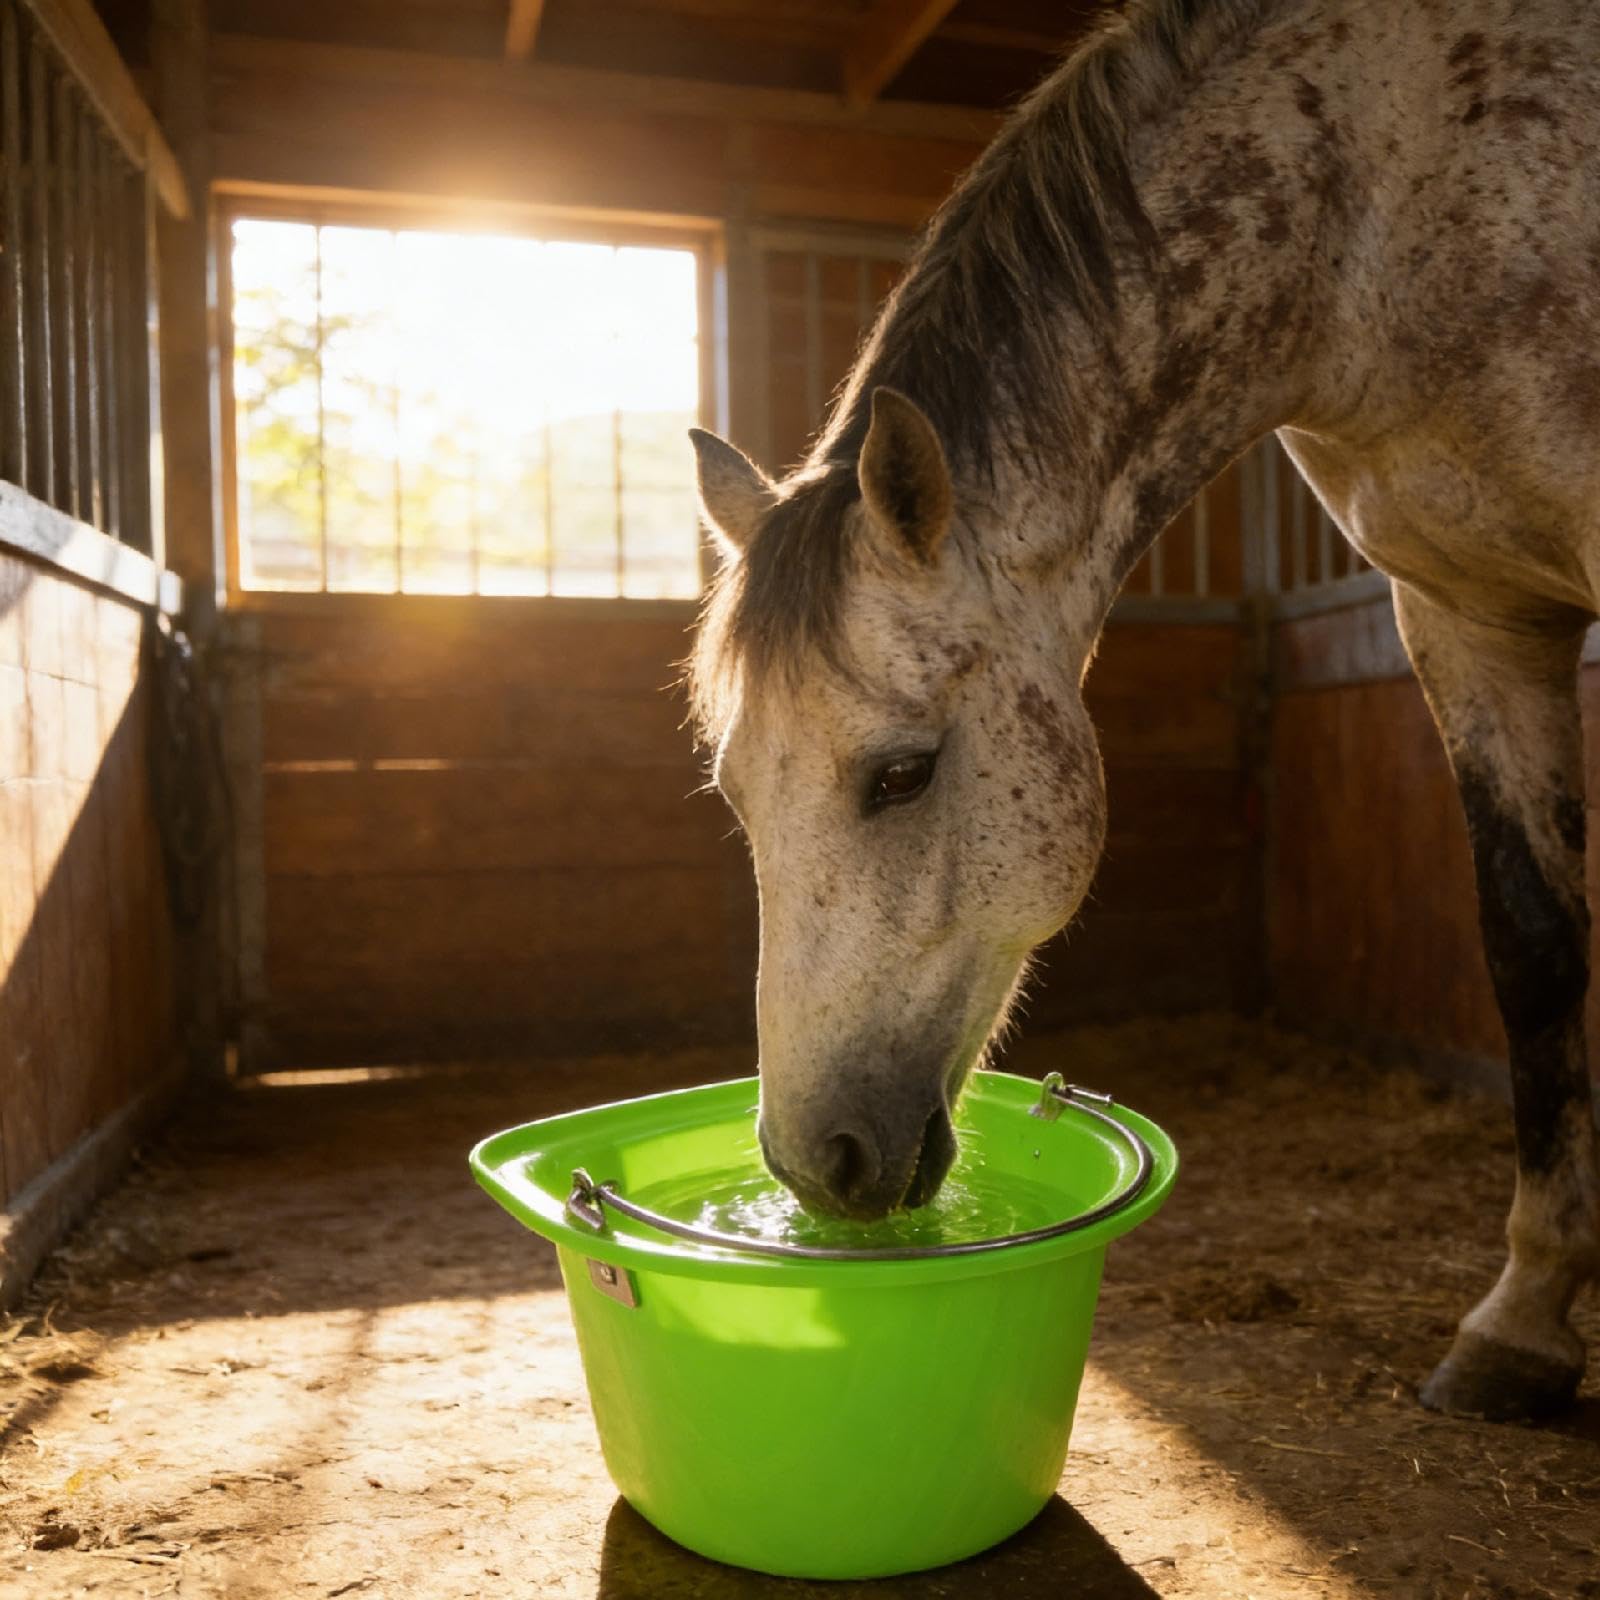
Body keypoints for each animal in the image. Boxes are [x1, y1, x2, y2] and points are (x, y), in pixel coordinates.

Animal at [685, 0, 1600, 1423]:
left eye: (901, 774)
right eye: (734, 791)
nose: (810, 1162)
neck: (1386, 202)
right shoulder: (1467, 615)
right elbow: (1534, 951)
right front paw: (1520, 1322)